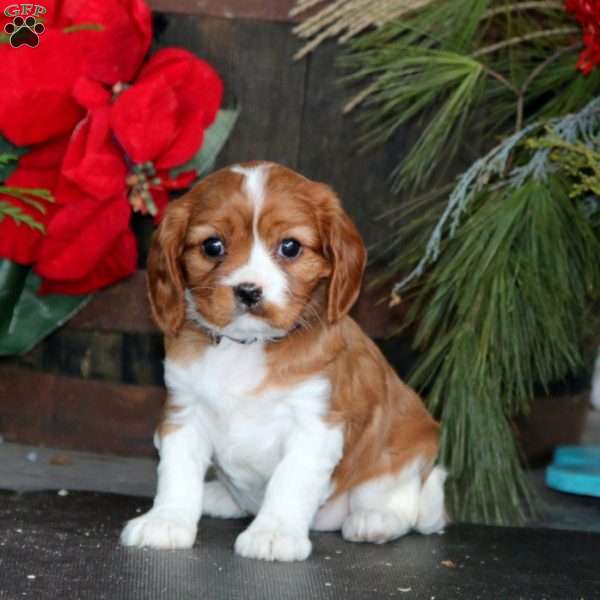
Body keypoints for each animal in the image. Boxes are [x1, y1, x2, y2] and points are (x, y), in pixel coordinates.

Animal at [120, 162, 446, 560]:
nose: (248, 291)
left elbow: (289, 480)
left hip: (407, 448)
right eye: (213, 246)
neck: (247, 346)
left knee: (404, 502)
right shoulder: (184, 413)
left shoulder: (315, 425)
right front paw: (165, 521)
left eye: (290, 247)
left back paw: (376, 519)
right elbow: (176, 473)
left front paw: (273, 533)